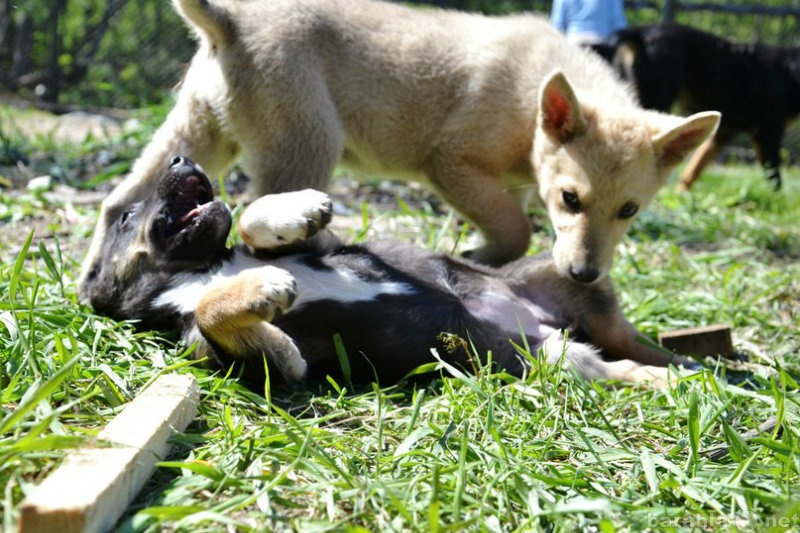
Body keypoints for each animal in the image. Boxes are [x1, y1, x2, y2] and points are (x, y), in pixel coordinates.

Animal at [87, 158, 696, 386]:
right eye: (127, 217)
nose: (182, 159)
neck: (202, 269)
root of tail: (539, 323)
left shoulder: (328, 246)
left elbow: (257, 217)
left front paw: (298, 209)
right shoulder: (220, 353)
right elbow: (220, 314)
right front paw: (263, 295)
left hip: (569, 276)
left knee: (632, 343)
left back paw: (696, 371)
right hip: (561, 360)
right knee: (624, 367)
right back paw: (680, 380)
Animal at [608, 25, 796, 191]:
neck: (790, 70)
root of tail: (642, 32)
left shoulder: (722, 134)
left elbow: (694, 169)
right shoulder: (767, 134)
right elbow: (775, 176)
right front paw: (778, 199)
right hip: (656, 97)